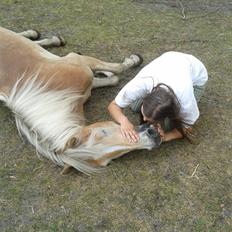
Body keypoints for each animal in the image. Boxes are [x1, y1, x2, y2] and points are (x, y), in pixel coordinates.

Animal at [0, 26, 161, 174]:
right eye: (108, 161)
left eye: (102, 131)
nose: (153, 136)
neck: (54, 92)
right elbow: (115, 75)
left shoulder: (80, 63)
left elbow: (116, 71)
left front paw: (132, 60)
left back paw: (42, 36)